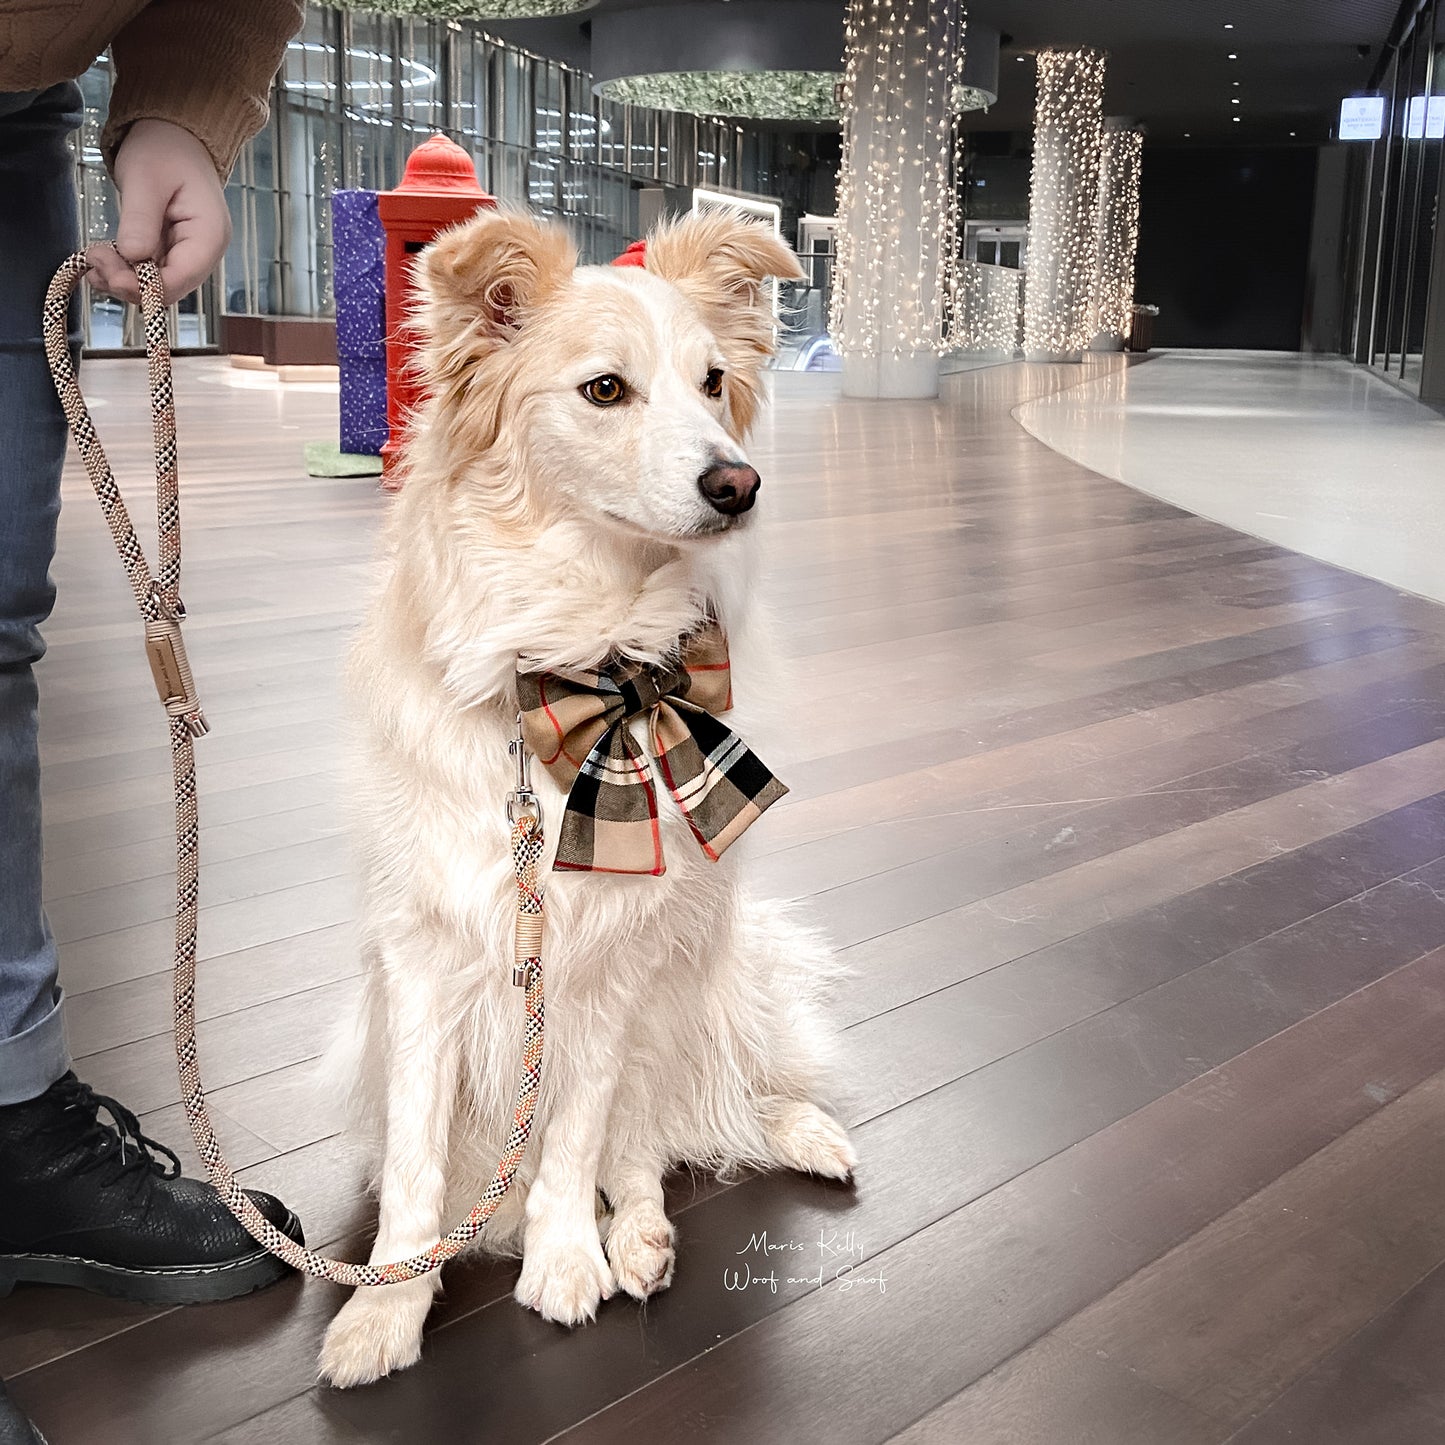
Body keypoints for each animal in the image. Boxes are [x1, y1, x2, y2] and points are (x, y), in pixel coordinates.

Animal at [317, 206, 855, 1387]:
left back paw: (675, 1211)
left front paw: (563, 1259)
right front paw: (386, 1306)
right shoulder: (424, 962)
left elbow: (575, 1129)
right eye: (604, 389)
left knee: (667, 1126)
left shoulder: (614, 958)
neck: (569, 662)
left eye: (713, 382)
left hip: (710, 978)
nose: (739, 485)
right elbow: (418, 1158)